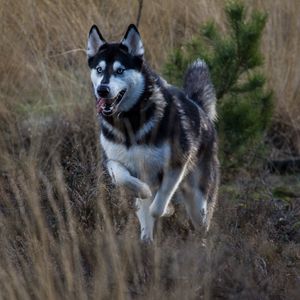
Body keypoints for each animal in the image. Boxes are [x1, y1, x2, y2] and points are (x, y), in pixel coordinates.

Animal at [86, 25, 220, 241]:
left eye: (120, 70)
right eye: (99, 69)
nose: (102, 89)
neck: (129, 122)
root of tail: (199, 108)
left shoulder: (176, 164)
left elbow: (158, 205)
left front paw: (166, 209)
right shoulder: (113, 161)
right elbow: (125, 180)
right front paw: (143, 191)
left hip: (198, 201)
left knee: (200, 221)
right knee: (145, 217)